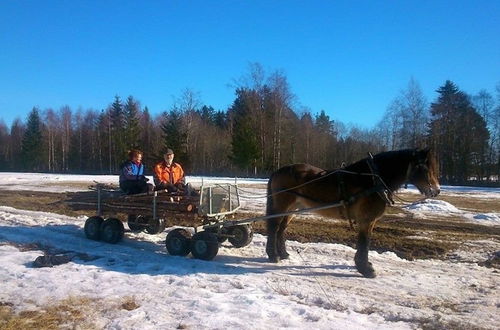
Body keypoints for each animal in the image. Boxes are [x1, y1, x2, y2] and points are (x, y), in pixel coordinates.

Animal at [264, 148, 440, 278]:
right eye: (425, 167)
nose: (437, 191)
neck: (373, 179)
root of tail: (279, 170)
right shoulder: (366, 219)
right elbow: (365, 242)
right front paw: (365, 268)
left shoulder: (370, 221)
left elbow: (365, 242)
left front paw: (365, 265)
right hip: (281, 205)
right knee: (274, 227)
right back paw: (273, 255)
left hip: (293, 208)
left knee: (281, 229)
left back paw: (283, 253)